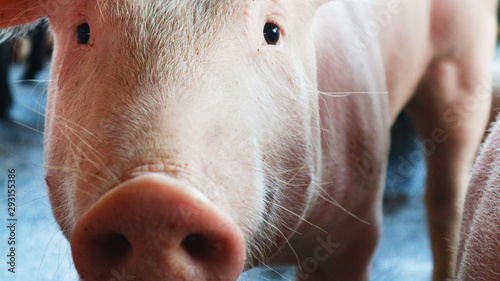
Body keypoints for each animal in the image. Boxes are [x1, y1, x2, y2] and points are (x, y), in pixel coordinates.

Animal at [0, 0, 496, 280]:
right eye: (83, 31)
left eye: (271, 32)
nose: (152, 198)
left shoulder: (357, 225)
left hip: (463, 60)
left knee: (447, 183)